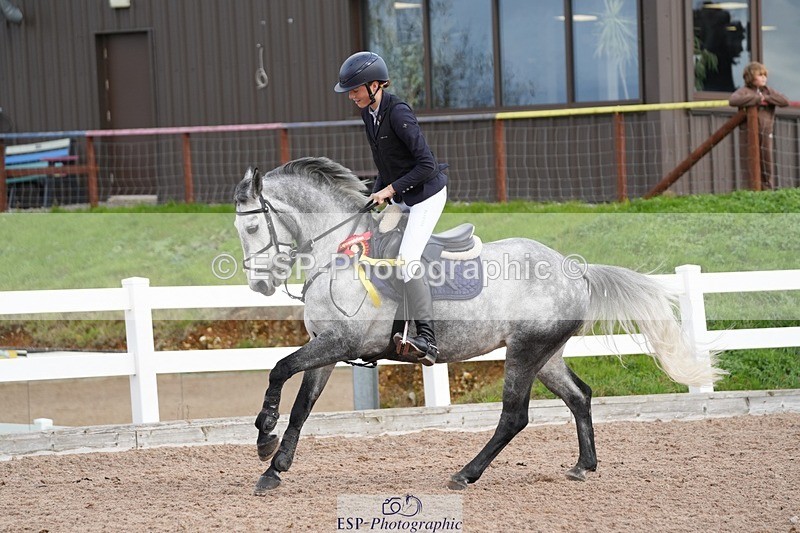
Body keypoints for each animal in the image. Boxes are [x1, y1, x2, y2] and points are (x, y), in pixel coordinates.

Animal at [233, 156, 722, 496]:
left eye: (253, 228)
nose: (259, 284)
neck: (339, 250)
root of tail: (574, 269)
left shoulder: (340, 342)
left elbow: (279, 369)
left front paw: (264, 434)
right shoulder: (326, 347)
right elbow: (303, 405)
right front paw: (274, 468)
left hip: (524, 351)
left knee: (514, 416)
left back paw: (465, 474)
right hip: (546, 355)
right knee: (579, 396)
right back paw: (583, 466)